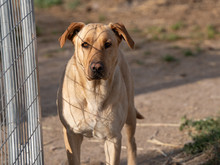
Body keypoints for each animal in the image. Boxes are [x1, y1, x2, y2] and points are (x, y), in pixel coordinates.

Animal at [57, 22, 144, 165]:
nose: (97, 67)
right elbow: (74, 159)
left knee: (132, 144)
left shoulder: (113, 137)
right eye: (85, 44)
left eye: (107, 44)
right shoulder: (71, 134)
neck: (94, 92)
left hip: (130, 115)